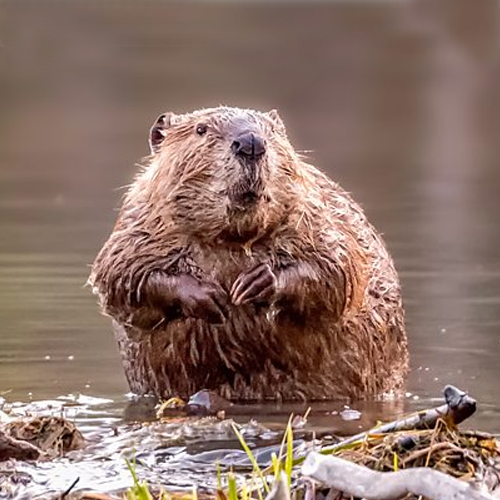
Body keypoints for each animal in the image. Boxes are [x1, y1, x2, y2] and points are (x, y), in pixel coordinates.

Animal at [89, 106, 410, 402]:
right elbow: (120, 278)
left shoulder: (318, 215)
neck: (232, 239)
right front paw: (209, 296)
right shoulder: (138, 225)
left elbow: (339, 270)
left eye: (271, 130)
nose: (251, 142)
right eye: (201, 129)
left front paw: (255, 283)